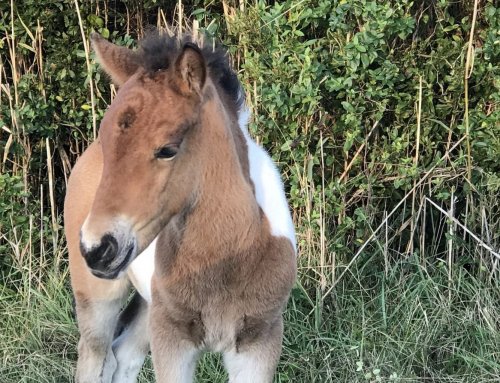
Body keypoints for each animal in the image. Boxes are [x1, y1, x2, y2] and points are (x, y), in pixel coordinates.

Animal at [63, 31, 296, 382]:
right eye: (105, 140)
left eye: (167, 149)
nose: (97, 248)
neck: (225, 260)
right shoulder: (172, 338)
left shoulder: (259, 341)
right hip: (98, 295)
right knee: (95, 357)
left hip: (149, 306)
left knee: (123, 357)